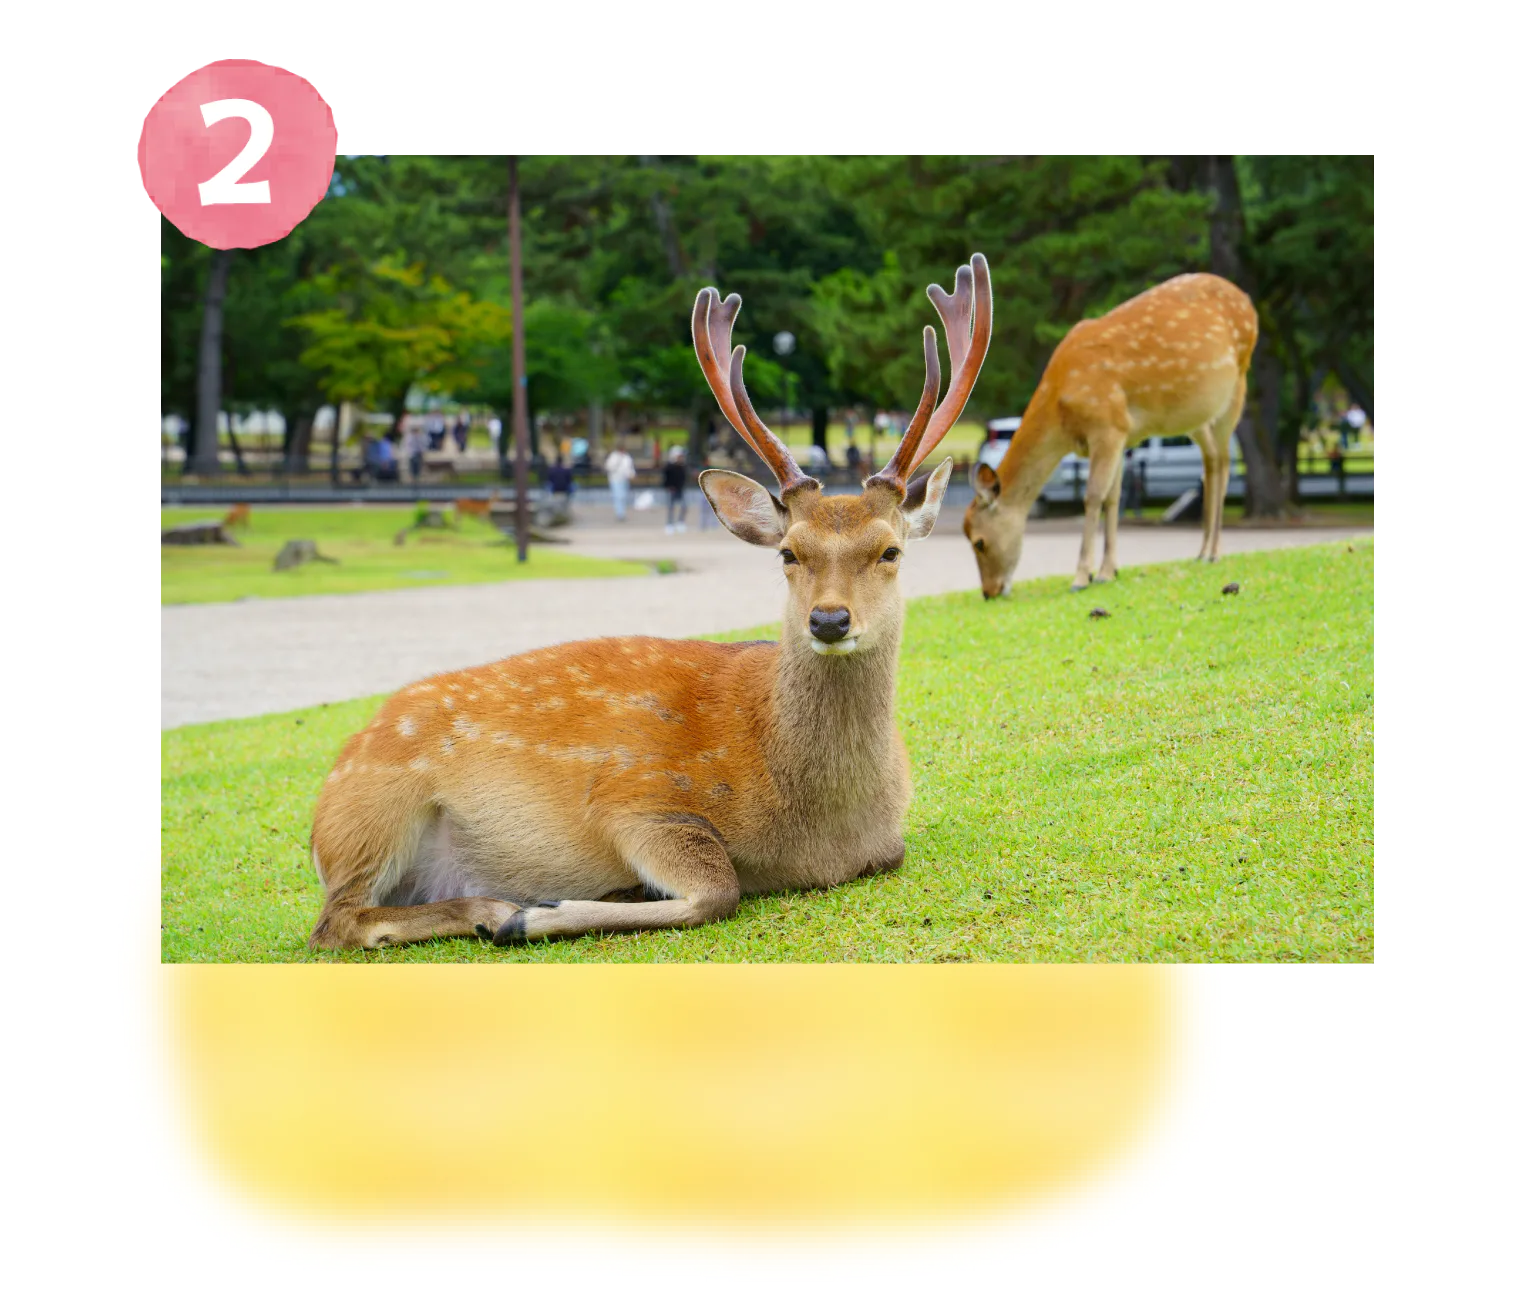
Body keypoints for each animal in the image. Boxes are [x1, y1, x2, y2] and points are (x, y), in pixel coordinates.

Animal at [306, 254, 993, 951]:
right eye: (788, 553)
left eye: (890, 551)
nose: (828, 619)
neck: (822, 833)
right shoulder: (634, 798)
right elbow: (718, 887)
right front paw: (539, 913)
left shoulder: (887, 846)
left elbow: (887, 854)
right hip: (376, 809)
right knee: (337, 923)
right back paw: (497, 911)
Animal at [963, 272, 1257, 599]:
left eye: (979, 541)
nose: (989, 591)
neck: (1061, 408)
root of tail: (1248, 302)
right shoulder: (1121, 435)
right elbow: (1114, 498)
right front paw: (1108, 571)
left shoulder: (1107, 425)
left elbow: (1093, 496)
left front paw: (1081, 576)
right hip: (1197, 418)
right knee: (1211, 462)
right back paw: (1202, 551)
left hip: (1237, 386)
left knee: (1226, 463)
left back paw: (1215, 552)